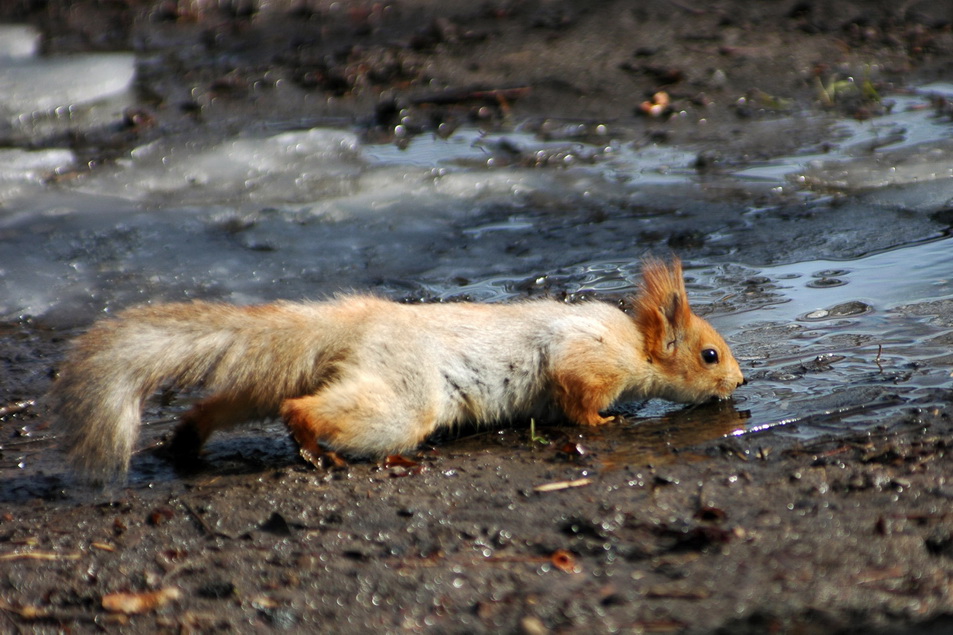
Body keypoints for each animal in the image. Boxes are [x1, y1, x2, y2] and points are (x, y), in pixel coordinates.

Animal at [50, 258, 744, 482]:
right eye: (709, 354)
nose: (740, 382)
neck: (634, 345)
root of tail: (360, 324)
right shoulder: (587, 354)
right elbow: (576, 394)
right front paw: (603, 423)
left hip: (288, 376)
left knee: (232, 402)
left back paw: (189, 439)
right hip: (405, 396)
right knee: (305, 409)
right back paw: (312, 447)